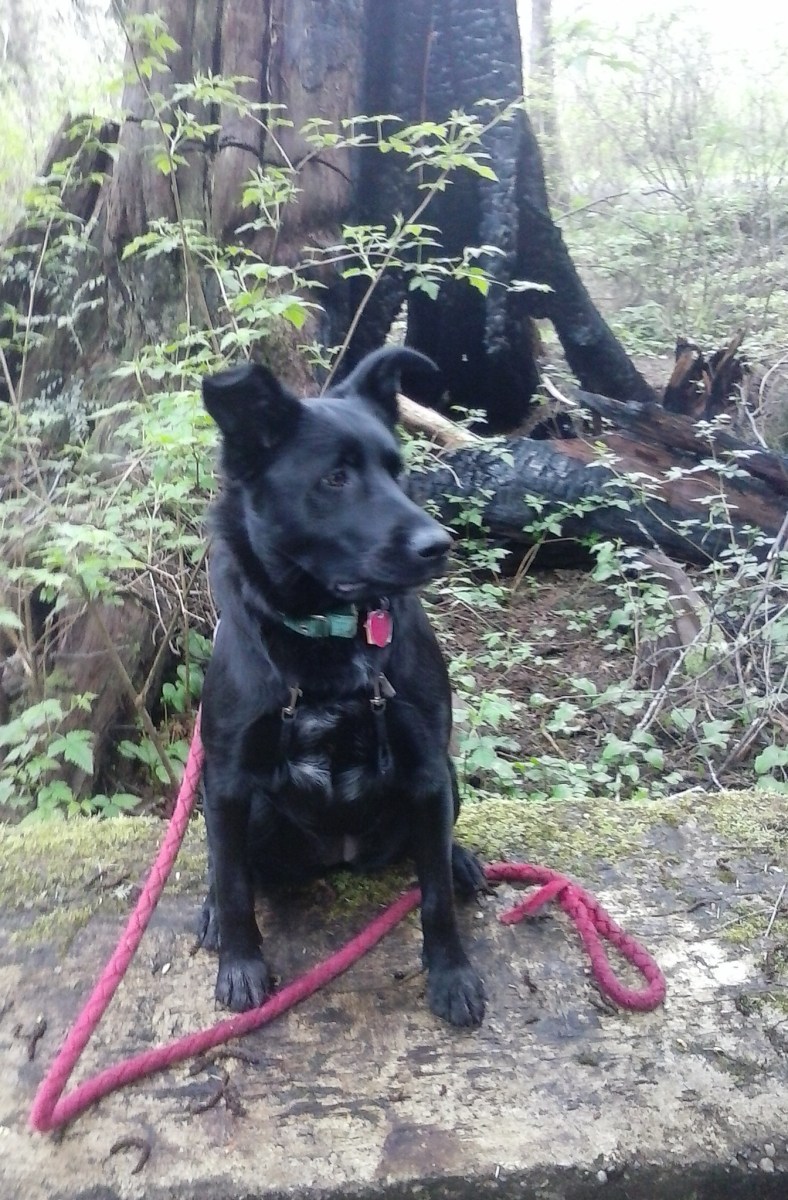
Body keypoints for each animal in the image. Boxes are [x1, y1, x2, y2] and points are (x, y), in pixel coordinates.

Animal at [197, 346, 486, 1027]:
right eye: (335, 479)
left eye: (397, 471)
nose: (439, 545)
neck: (327, 632)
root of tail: (341, 856)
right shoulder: (226, 779)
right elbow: (233, 882)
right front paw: (241, 964)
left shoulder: (428, 768)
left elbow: (434, 897)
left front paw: (452, 974)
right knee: (228, 865)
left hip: (447, 781)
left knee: (433, 850)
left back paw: (460, 859)